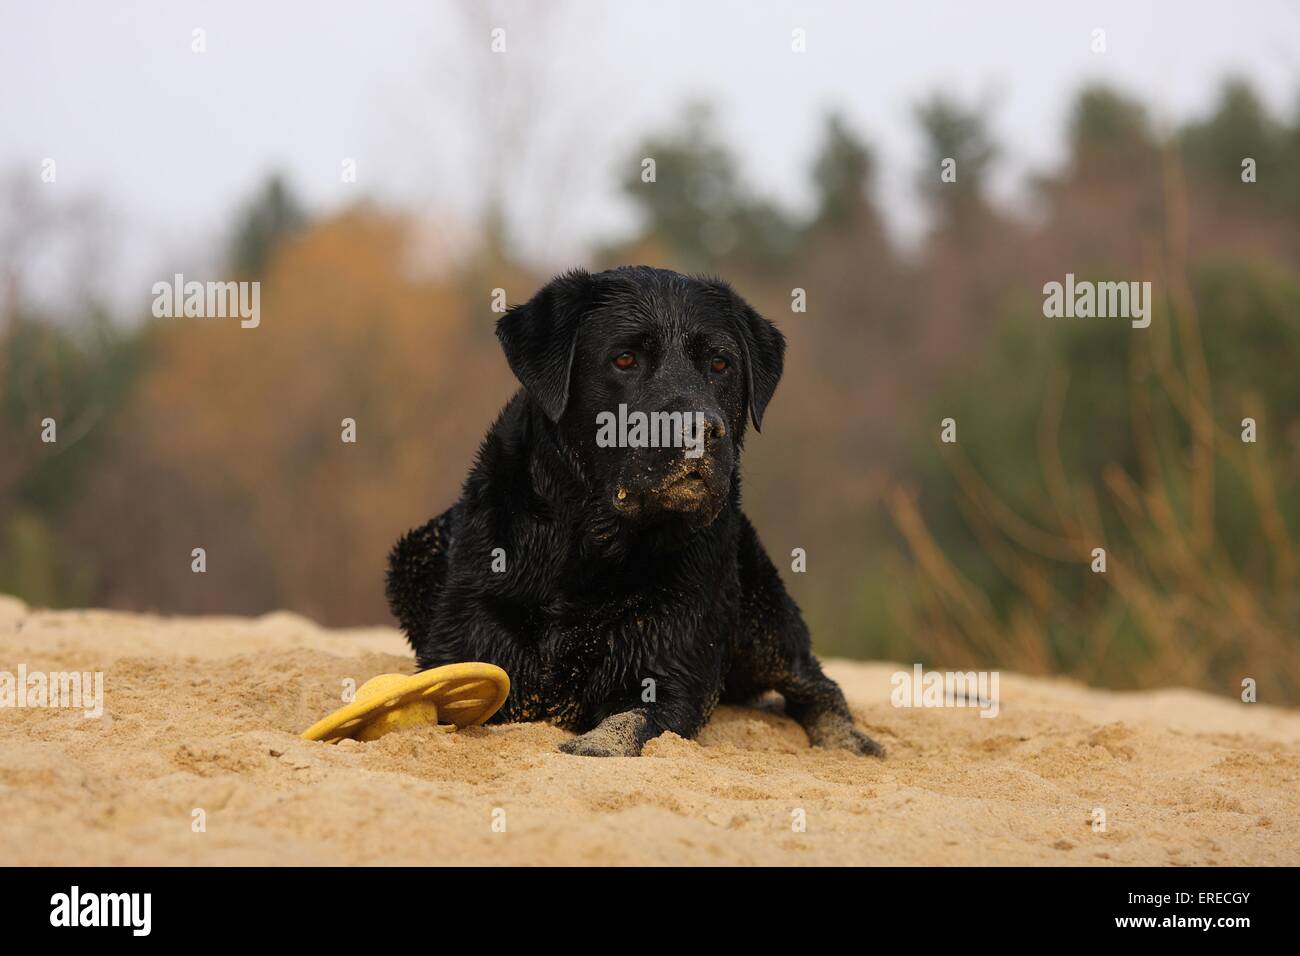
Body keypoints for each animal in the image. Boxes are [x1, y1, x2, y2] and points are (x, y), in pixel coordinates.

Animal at [384, 265, 883, 759]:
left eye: (720, 364)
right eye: (625, 360)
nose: (699, 428)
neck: (594, 547)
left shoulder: (668, 674)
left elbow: (626, 724)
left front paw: (594, 746)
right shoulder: (469, 649)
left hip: (765, 619)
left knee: (817, 684)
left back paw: (848, 743)